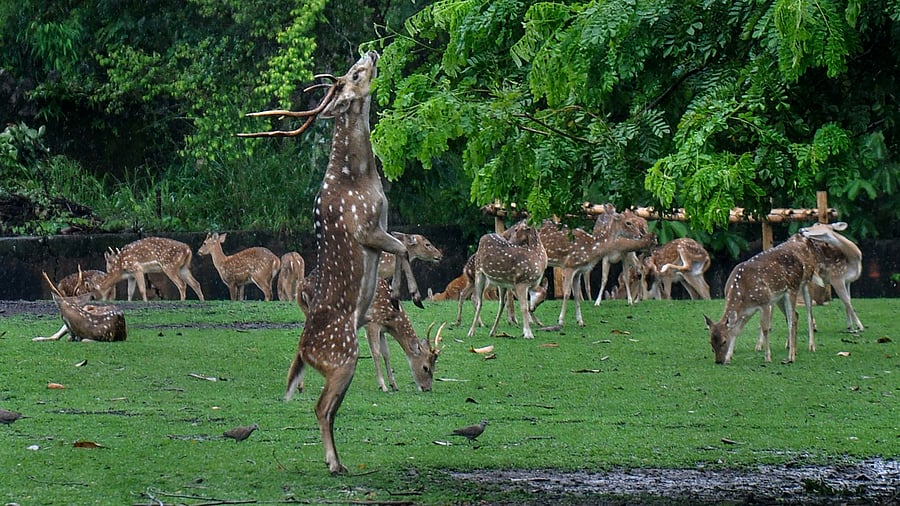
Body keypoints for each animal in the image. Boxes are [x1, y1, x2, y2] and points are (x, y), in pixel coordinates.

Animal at [239, 51, 423, 474]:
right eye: (355, 74)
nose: (370, 53)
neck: (363, 179)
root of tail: (304, 352)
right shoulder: (367, 227)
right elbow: (403, 249)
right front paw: (409, 293)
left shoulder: (382, 224)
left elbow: (402, 246)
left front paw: (404, 294)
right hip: (342, 357)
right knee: (322, 408)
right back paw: (335, 464)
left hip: (339, 365)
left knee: (327, 409)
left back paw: (335, 460)